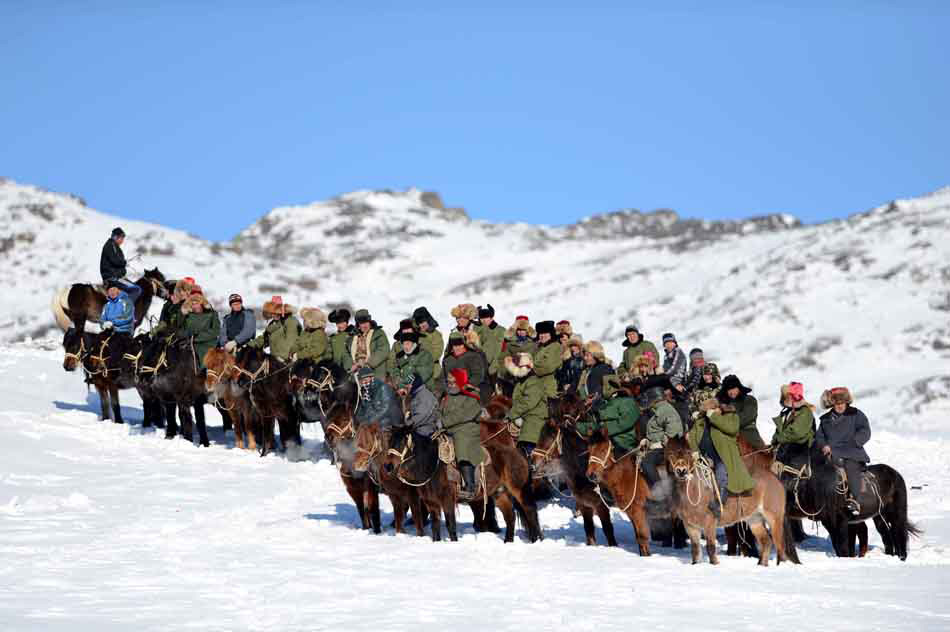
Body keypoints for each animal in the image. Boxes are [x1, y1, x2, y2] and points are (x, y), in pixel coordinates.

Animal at [532, 392, 620, 544]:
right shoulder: (585, 505)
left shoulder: (602, 506)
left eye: (549, 438)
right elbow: (589, 532)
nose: (533, 461)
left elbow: (609, 532)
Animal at [584, 428, 660, 556]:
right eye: (589, 450)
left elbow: (643, 538)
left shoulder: (639, 513)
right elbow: (639, 540)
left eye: (603, 450)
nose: (591, 475)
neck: (627, 475)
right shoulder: (632, 514)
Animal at [784, 446, 920, 560]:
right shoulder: (830, 523)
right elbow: (838, 545)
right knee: (886, 534)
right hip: (879, 516)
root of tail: (896, 474)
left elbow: (843, 545)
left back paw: (902, 557)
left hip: (897, 513)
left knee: (899, 532)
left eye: (793, 466)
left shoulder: (842, 522)